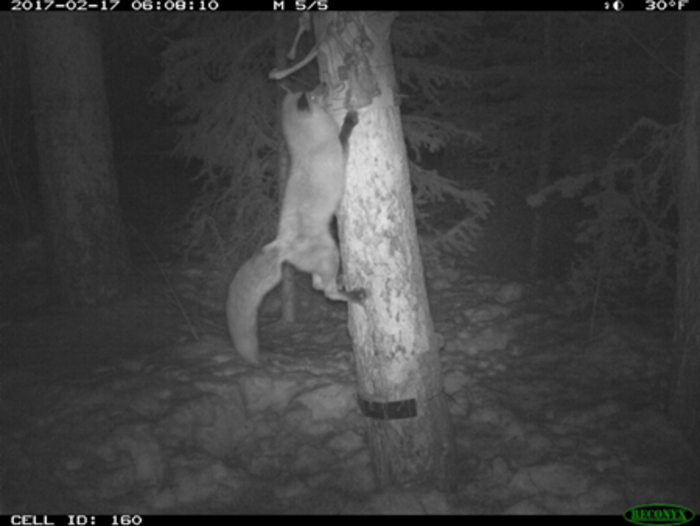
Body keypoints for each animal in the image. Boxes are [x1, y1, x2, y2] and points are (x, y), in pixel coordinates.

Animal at [226, 85, 365, 365]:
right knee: (328, 292)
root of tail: (279, 246)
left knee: (318, 286)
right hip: (330, 253)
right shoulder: (340, 152)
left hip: (324, 259)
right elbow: (344, 136)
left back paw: (344, 282)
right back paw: (355, 294)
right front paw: (349, 120)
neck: (309, 145)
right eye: (312, 94)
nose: (324, 85)